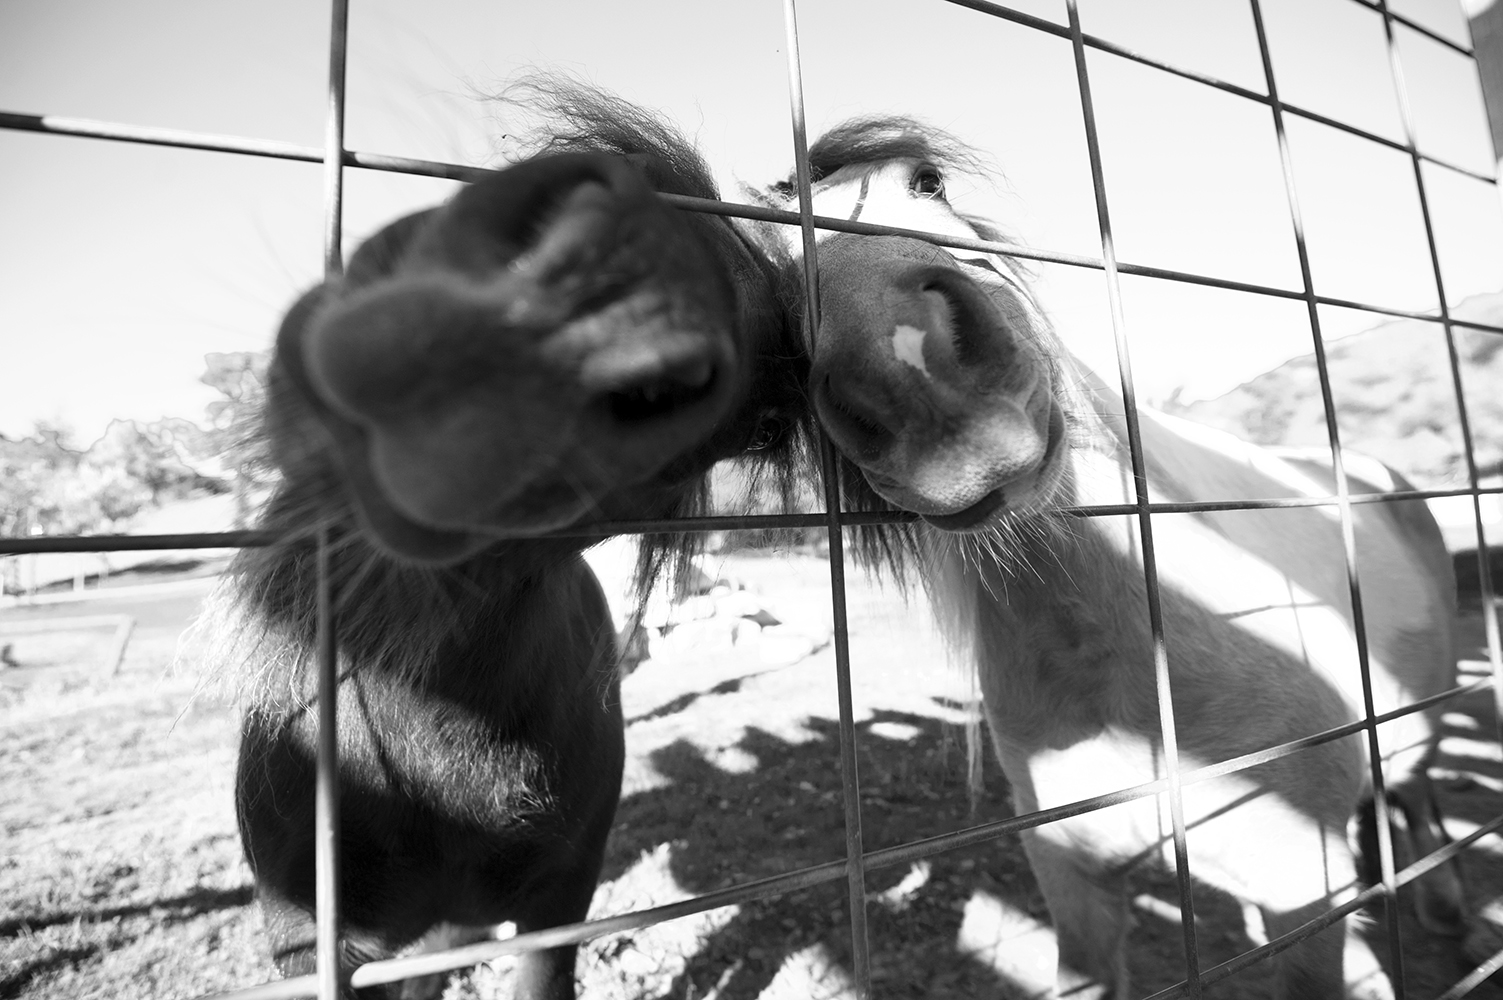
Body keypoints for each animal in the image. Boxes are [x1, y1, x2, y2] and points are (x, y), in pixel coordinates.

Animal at [766, 117, 1466, 999]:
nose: (920, 381)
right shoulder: (1077, 890)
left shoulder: (1303, 887)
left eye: (926, 181)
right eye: (765, 277)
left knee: (1418, 795)